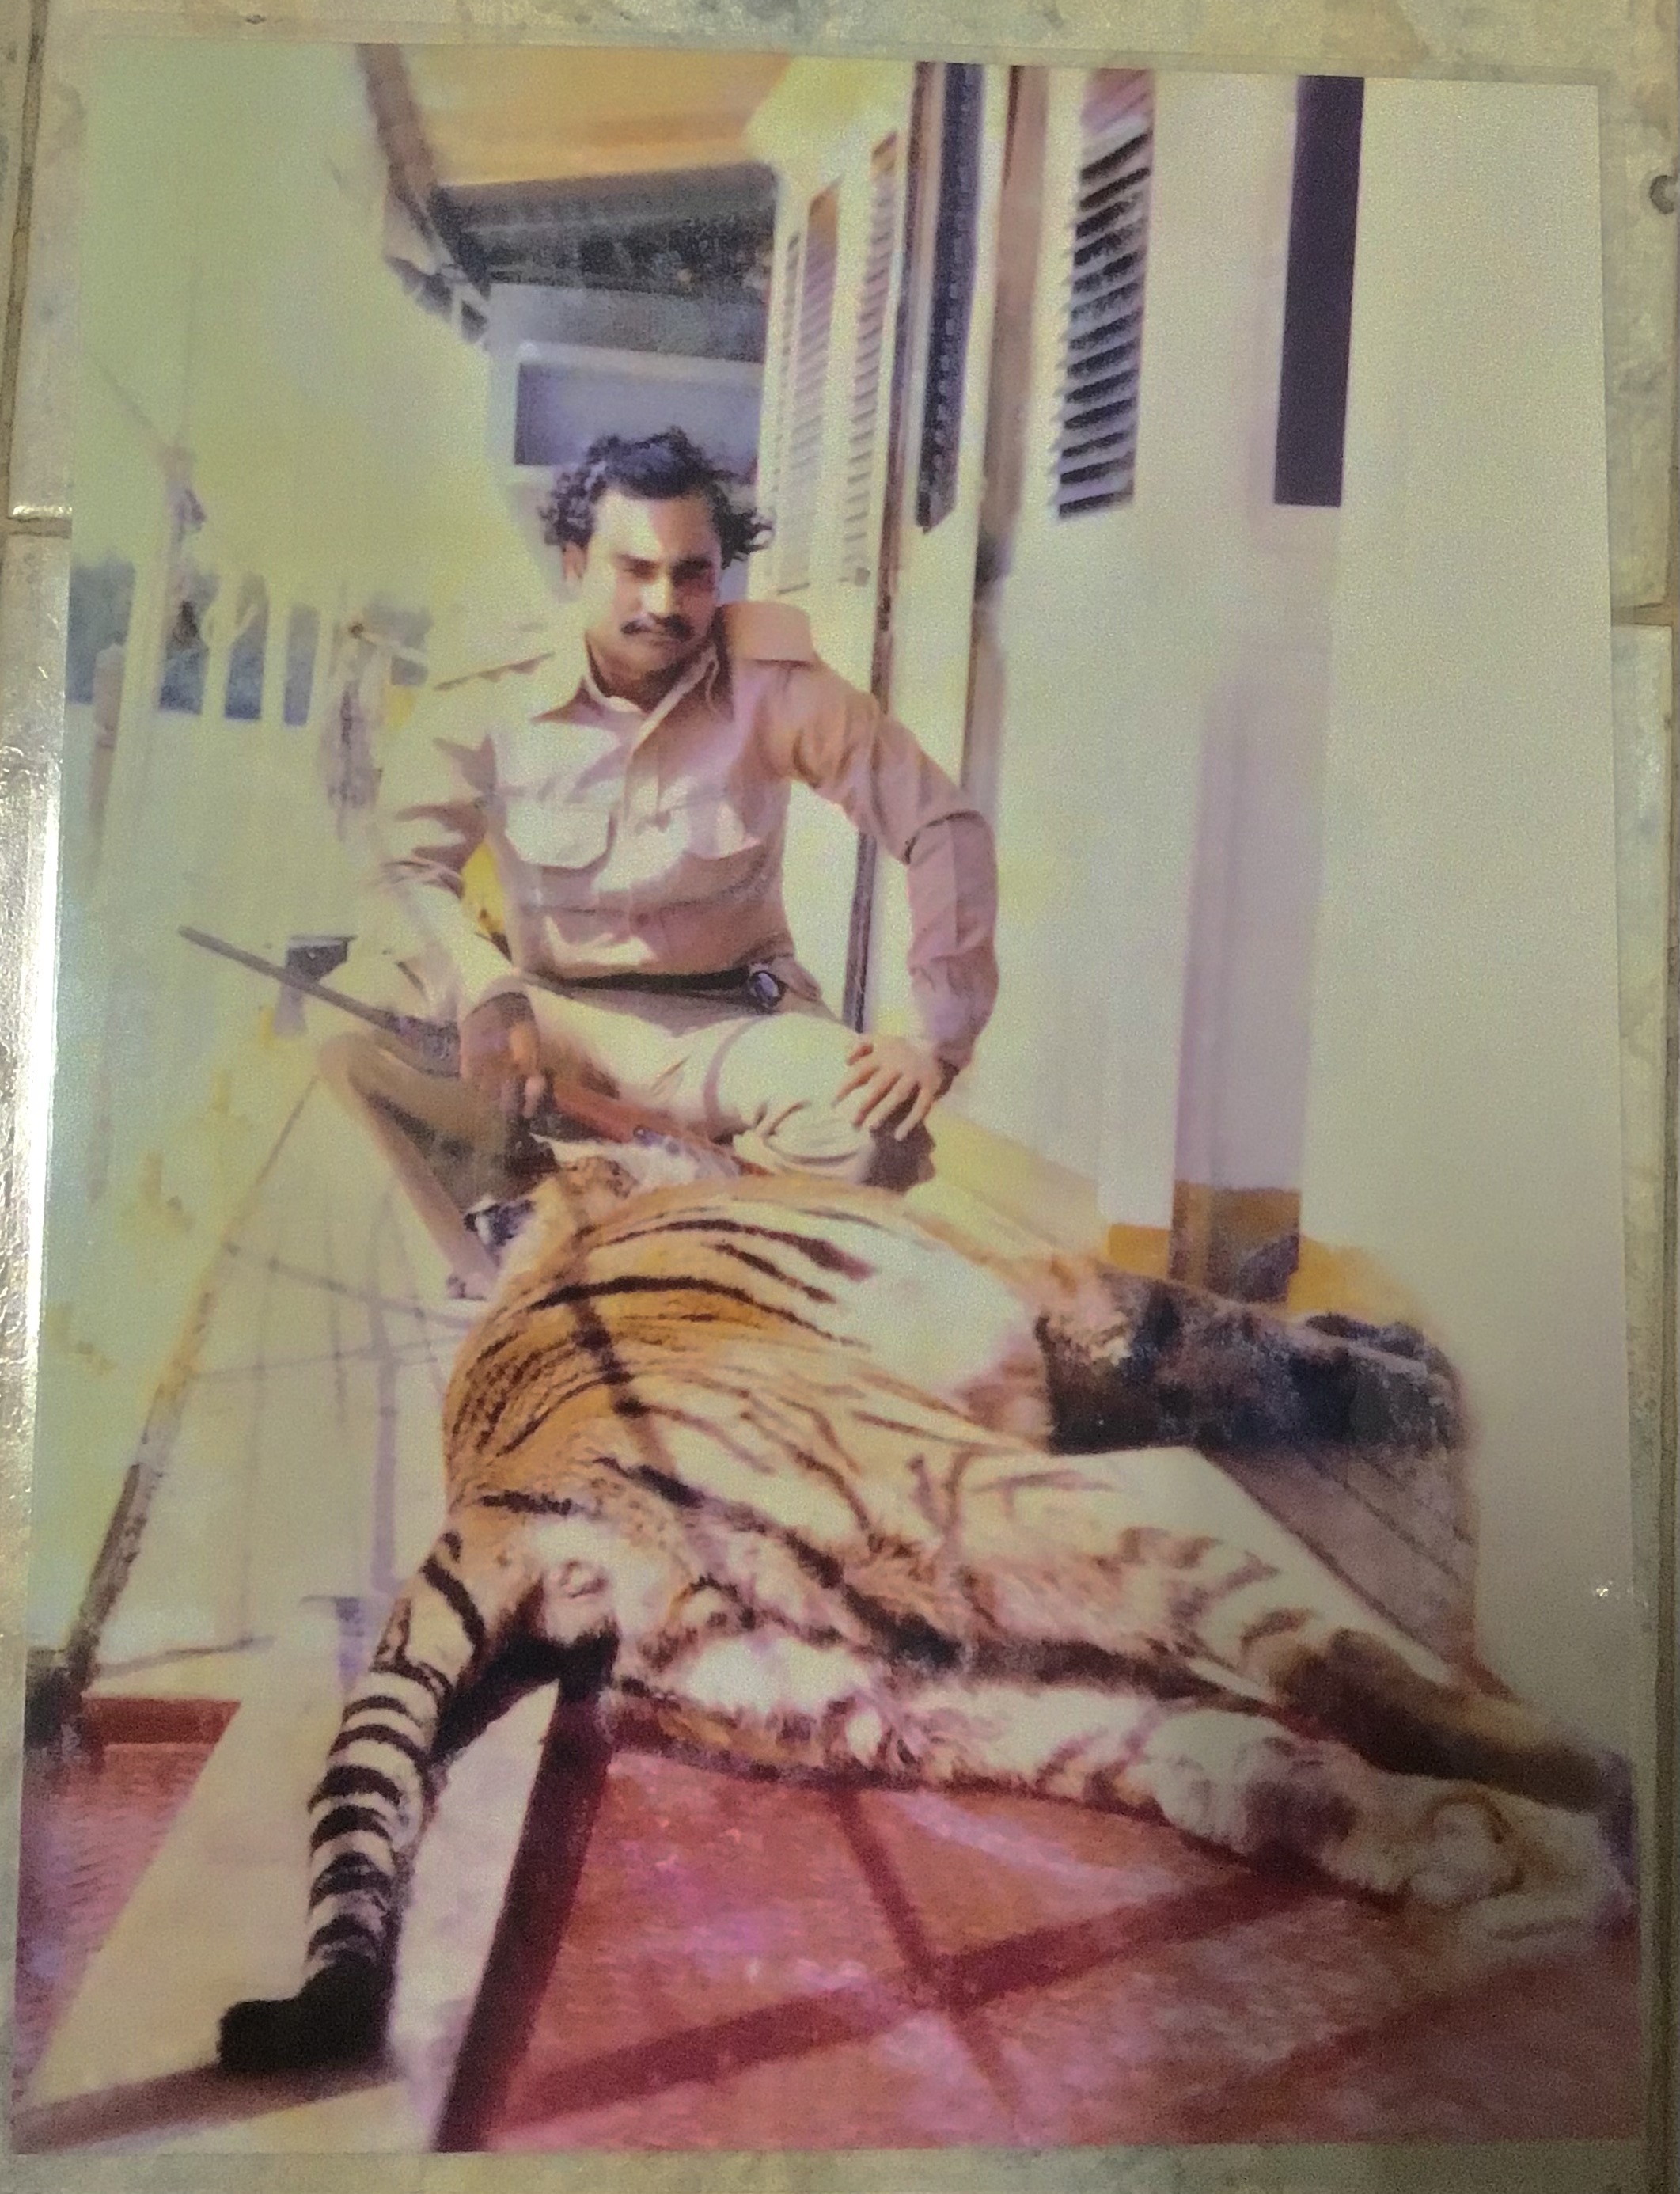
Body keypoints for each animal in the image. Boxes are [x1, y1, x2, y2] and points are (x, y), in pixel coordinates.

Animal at [217, 1147, 1633, 2076]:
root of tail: (504, 1510)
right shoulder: (1074, 1297)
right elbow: (1238, 1333)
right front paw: (1411, 1373)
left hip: (911, 1697)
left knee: (1222, 1763)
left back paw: (1475, 1846)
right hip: (1020, 1493)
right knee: (1335, 1668)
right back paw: (1586, 1799)